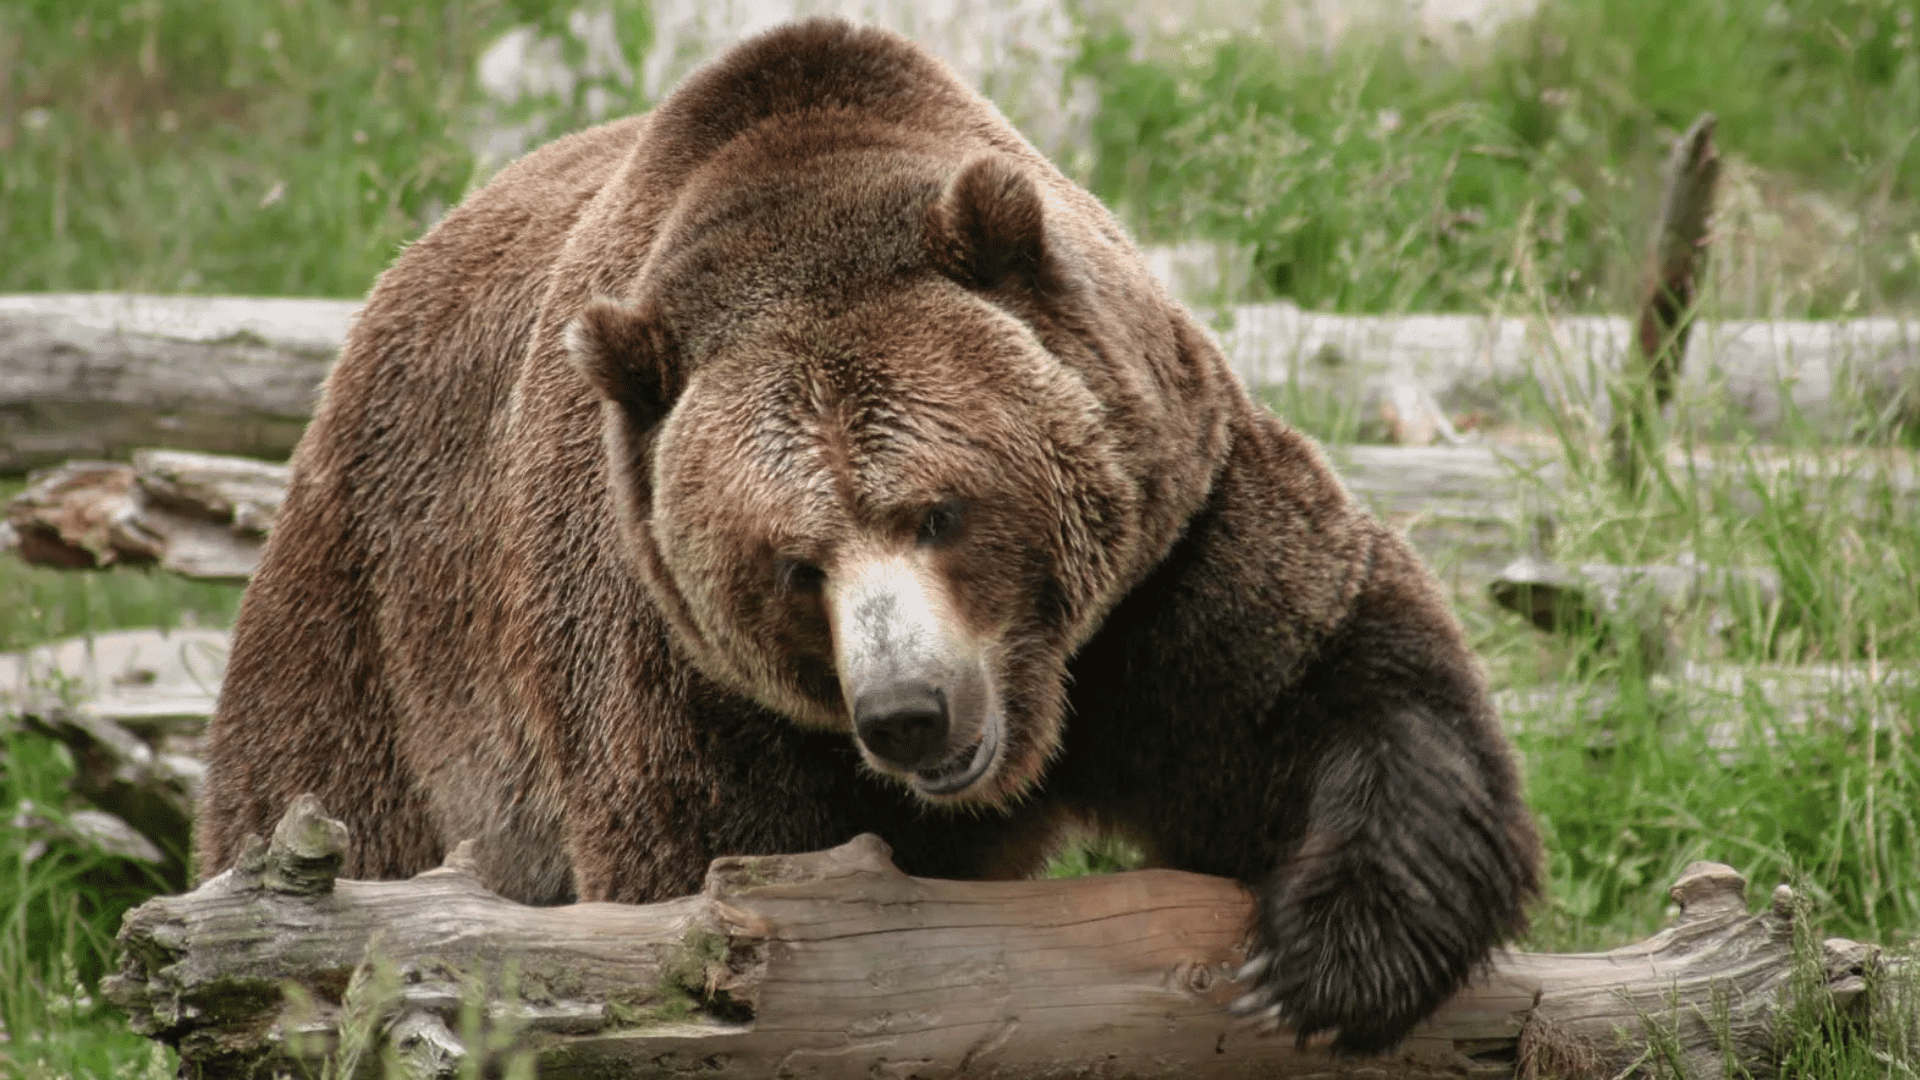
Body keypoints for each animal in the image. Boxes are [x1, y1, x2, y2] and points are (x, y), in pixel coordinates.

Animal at [196, 18, 1540, 1054]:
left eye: (940, 510)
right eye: (796, 566)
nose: (909, 711)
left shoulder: (1164, 551)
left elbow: (1329, 682)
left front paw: (1319, 962)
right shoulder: (683, 678)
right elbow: (713, 889)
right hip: (377, 642)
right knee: (335, 820)